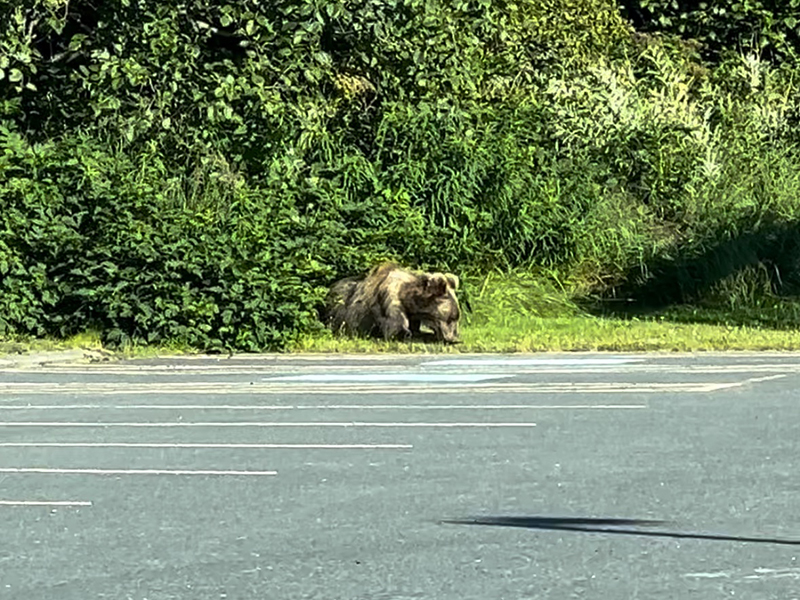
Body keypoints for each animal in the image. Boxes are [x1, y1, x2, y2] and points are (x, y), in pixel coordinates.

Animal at [324, 262, 462, 342]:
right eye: (451, 318)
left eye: (456, 317)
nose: (454, 338)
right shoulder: (390, 301)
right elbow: (396, 331)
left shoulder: (413, 315)